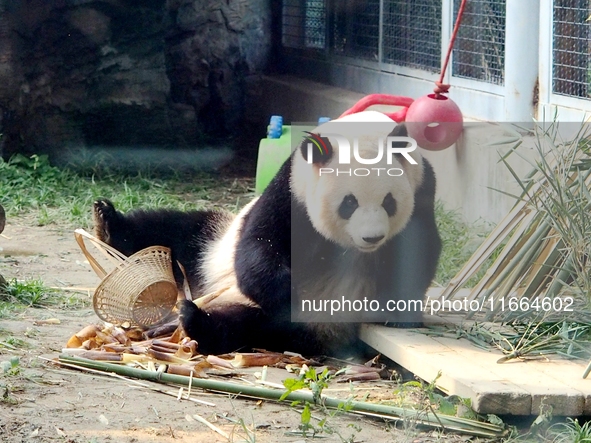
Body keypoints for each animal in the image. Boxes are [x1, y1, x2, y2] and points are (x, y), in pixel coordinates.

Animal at [92, 112, 442, 358]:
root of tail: (214, 290)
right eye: (349, 203)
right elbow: (260, 245)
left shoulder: (422, 189)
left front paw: (400, 313)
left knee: (254, 329)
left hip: (310, 325)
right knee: (175, 232)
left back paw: (196, 321)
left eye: (389, 202)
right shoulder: (292, 189)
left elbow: (420, 251)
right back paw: (108, 223)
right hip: (213, 245)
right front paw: (287, 291)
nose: (372, 238)